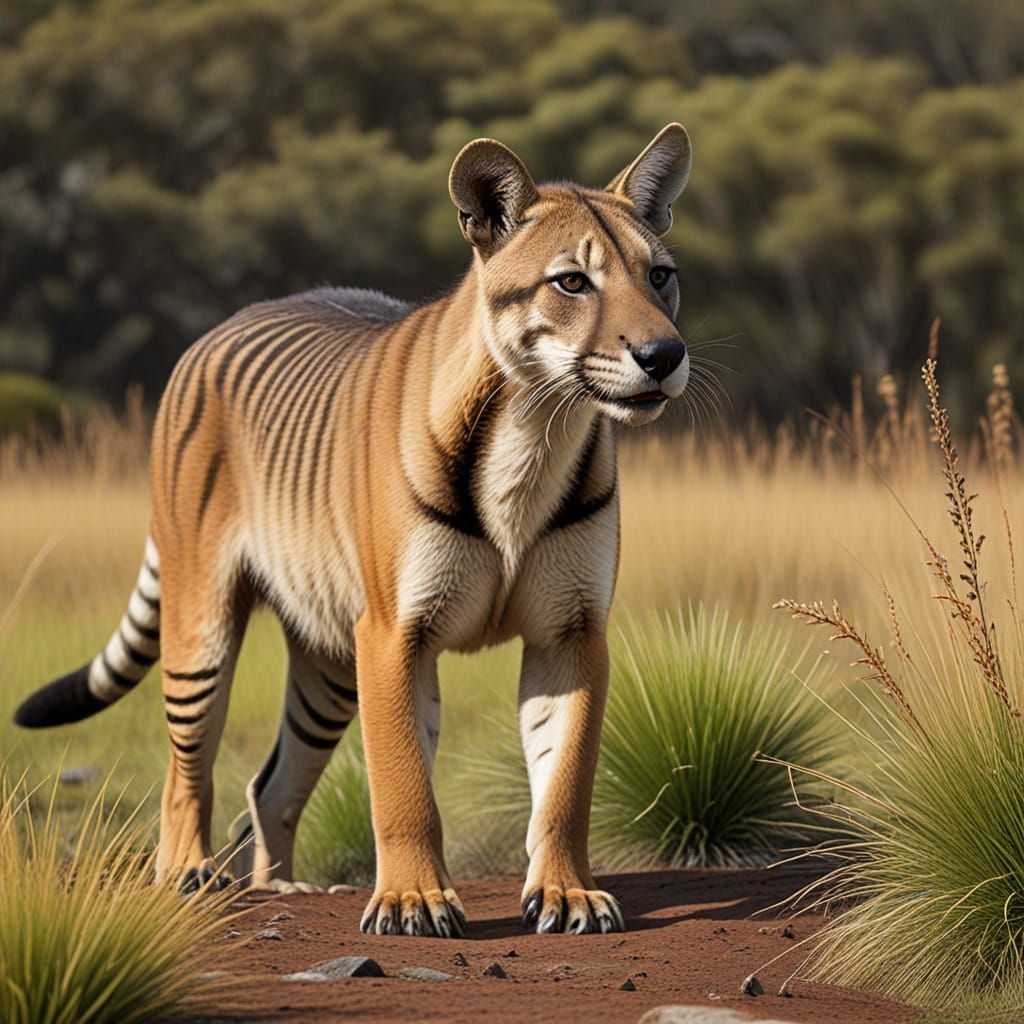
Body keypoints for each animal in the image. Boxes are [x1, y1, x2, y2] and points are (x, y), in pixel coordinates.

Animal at [15, 123, 692, 937]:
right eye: (572, 283)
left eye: (660, 276)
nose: (664, 355)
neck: (536, 430)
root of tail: (219, 326)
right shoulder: (395, 633)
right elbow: (403, 784)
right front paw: (412, 900)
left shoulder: (571, 629)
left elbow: (565, 779)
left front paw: (566, 894)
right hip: (202, 628)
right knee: (189, 768)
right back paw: (189, 873)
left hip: (328, 660)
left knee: (271, 786)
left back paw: (285, 889)